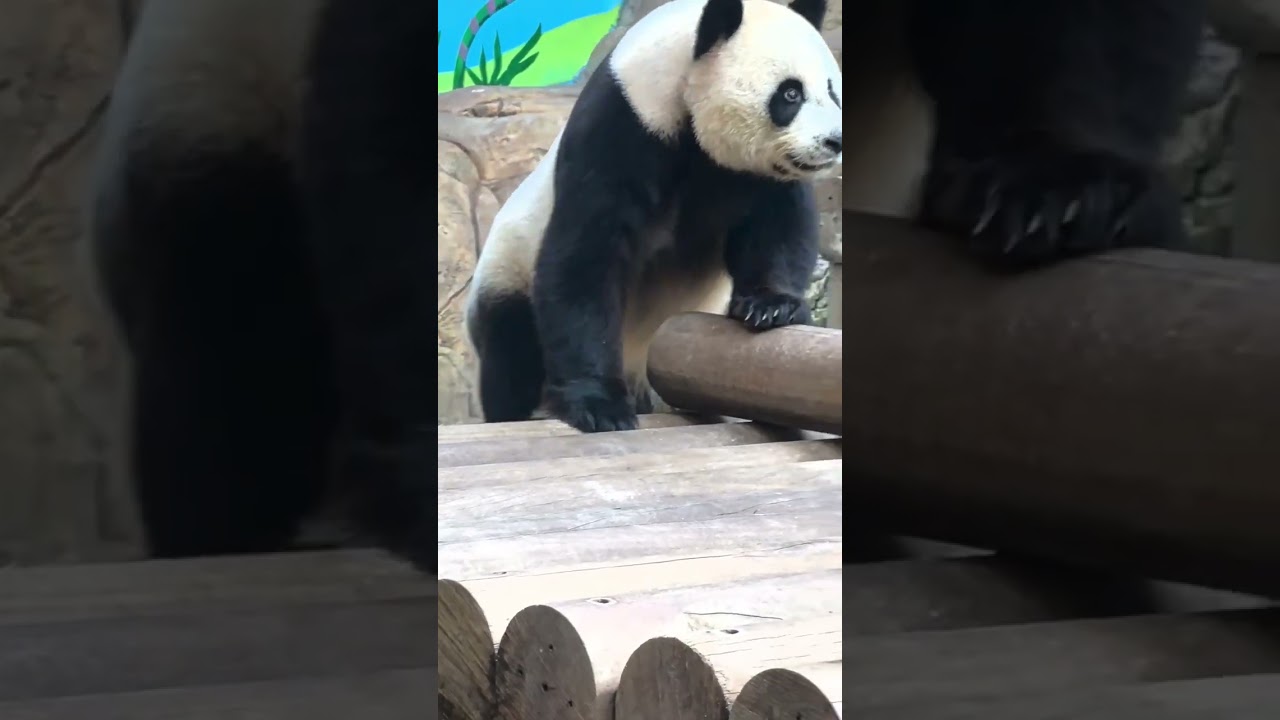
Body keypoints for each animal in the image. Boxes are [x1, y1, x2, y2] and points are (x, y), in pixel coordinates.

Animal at [465, 0, 844, 434]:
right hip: (507, 272)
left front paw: (770, 306)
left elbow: (778, 227)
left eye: (832, 90)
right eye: (791, 93)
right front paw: (600, 406)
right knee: (511, 347)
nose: (834, 141)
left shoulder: (757, 172)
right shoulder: (623, 128)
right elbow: (585, 257)